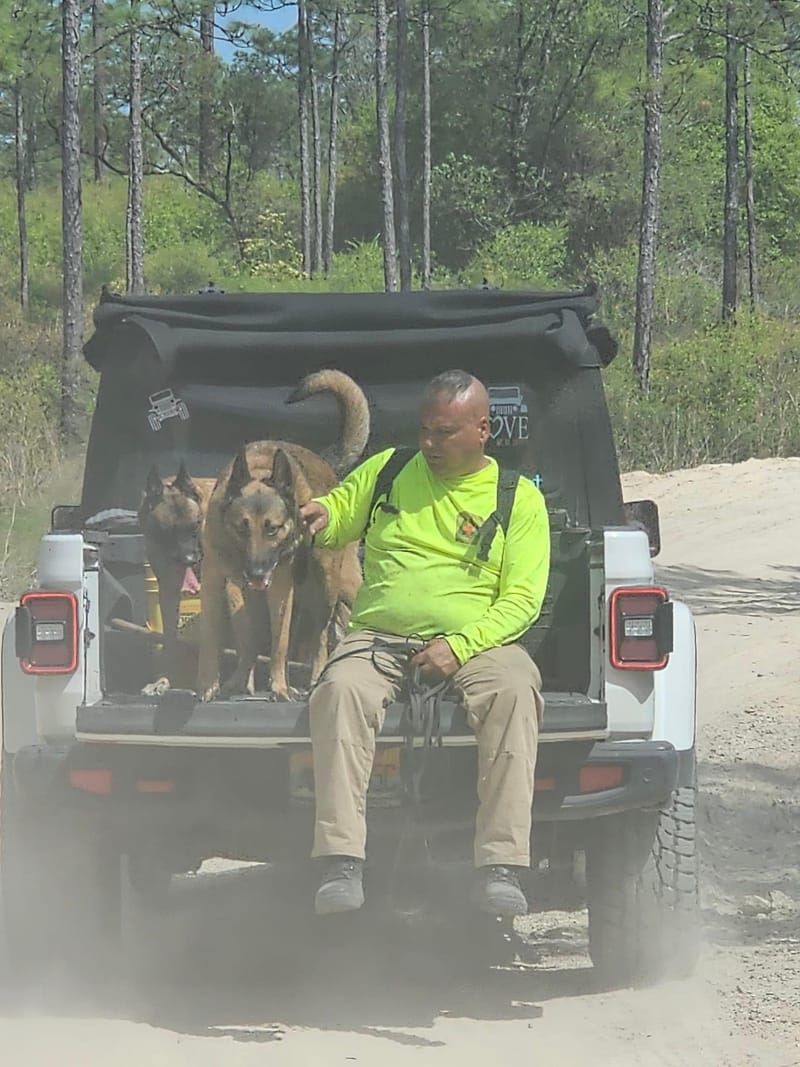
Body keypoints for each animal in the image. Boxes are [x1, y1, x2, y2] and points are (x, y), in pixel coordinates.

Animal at [197, 371, 369, 704]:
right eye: (242, 527)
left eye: (272, 529)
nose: (256, 572)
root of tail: (327, 464)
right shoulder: (216, 583)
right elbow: (219, 639)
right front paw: (211, 685)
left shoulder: (279, 587)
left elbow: (281, 641)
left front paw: (279, 688)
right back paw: (241, 680)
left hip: (330, 585)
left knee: (320, 637)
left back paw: (315, 678)